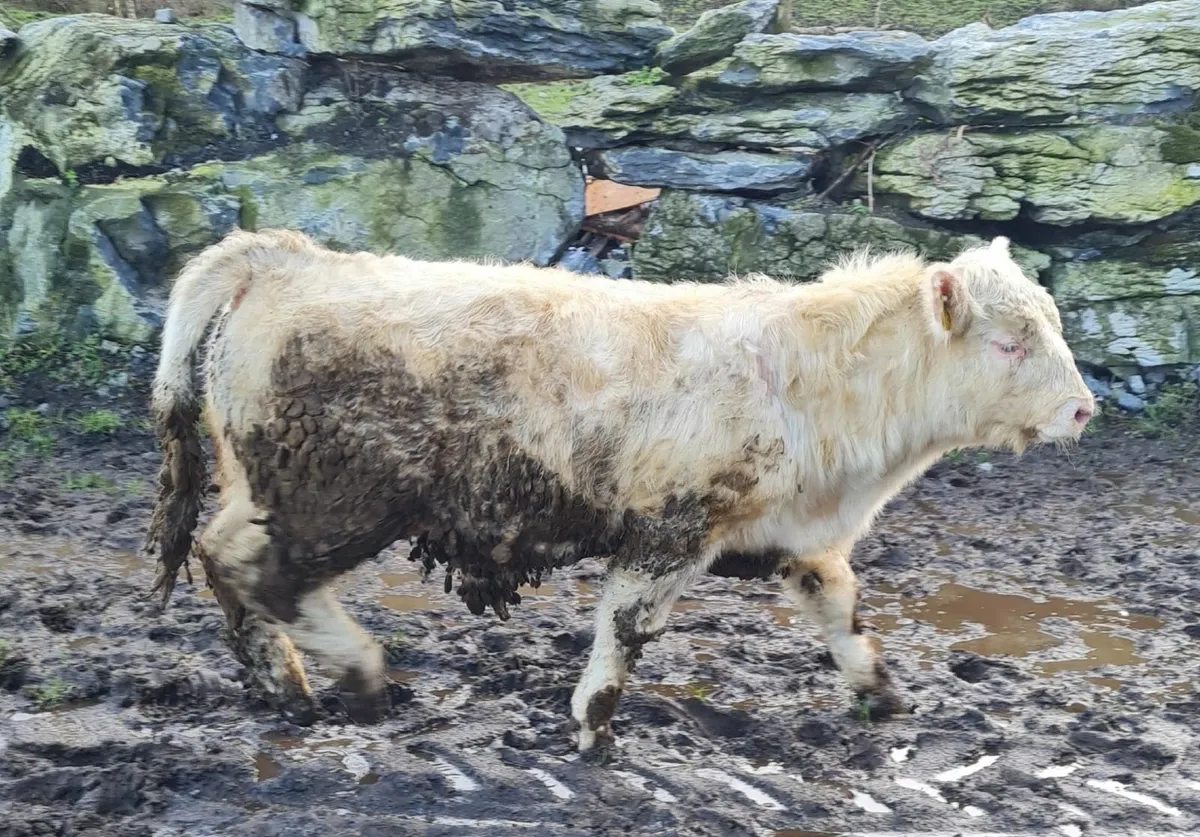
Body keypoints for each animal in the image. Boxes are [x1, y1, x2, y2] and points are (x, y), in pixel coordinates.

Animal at [144, 228, 1094, 751]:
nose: (1083, 408)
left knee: (225, 561)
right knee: (260, 569)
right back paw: (355, 672)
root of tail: (288, 260)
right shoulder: (668, 531)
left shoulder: (798, 535)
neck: (807, 377)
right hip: (332, 497)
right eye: (1010, 341)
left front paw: (883, 694)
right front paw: (594, 723)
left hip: (262, 482)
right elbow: (627, 628)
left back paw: (278, 679)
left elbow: (843, 609)